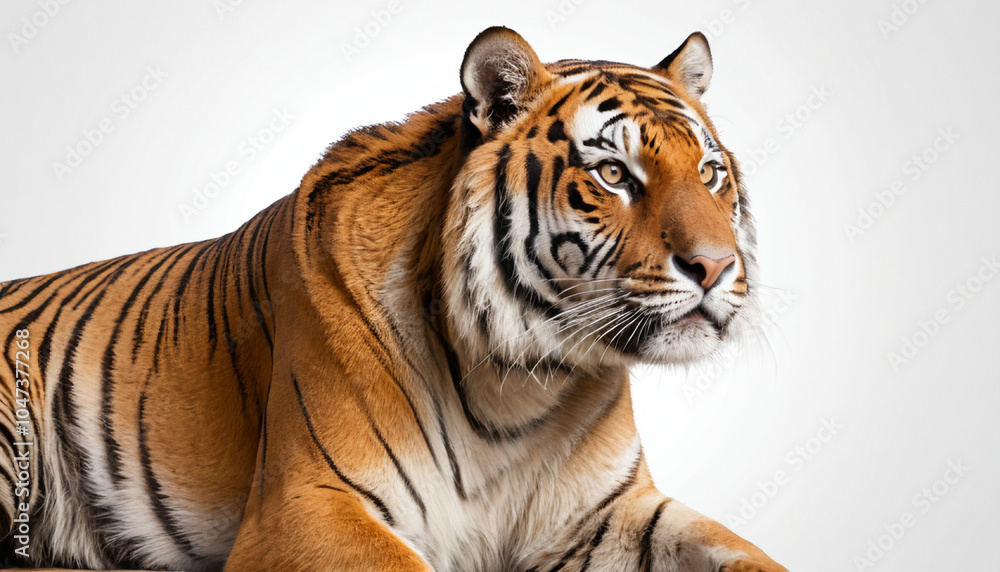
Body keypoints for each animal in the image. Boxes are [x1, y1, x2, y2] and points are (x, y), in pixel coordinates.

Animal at [0, 26, 787, 571]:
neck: (520, 388)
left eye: (709, 172)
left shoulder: (606, 513)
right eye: (615, 174)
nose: (717, 266)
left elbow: (743, 551)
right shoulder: (308, 506)